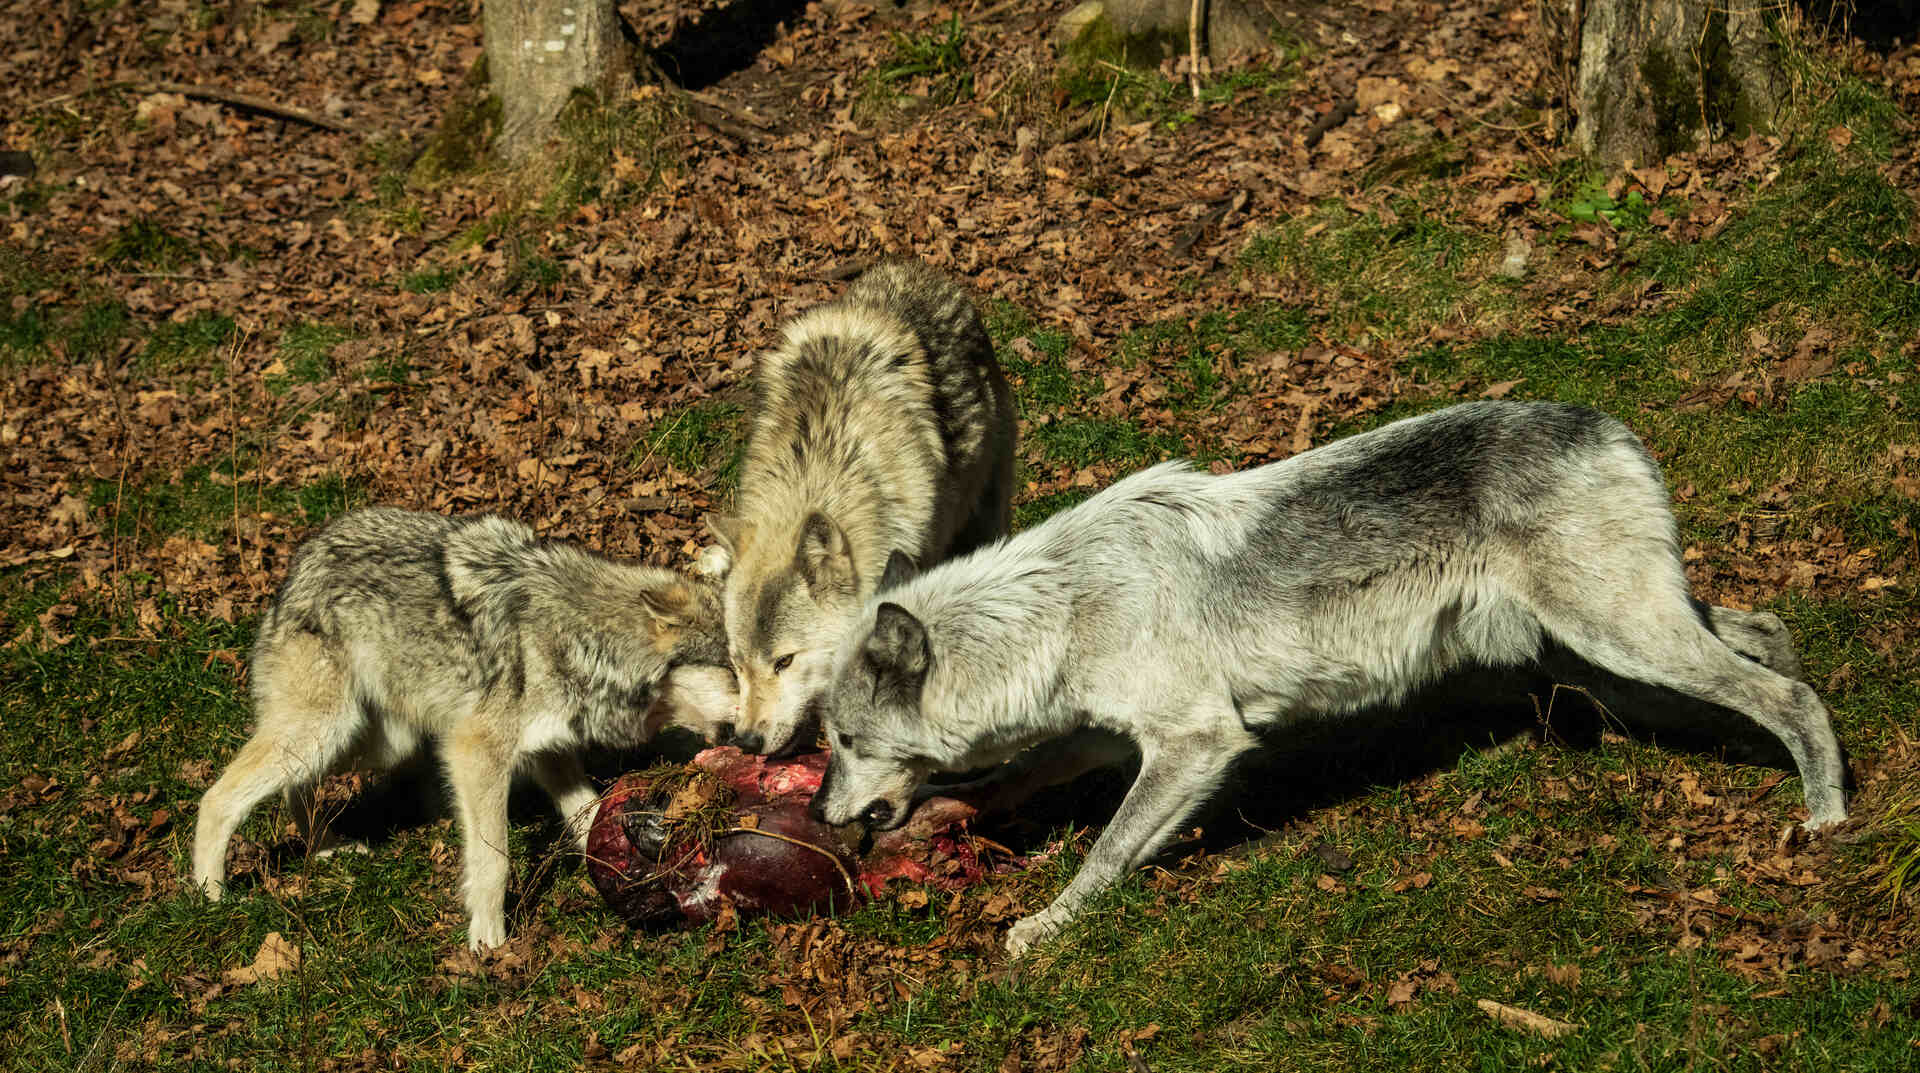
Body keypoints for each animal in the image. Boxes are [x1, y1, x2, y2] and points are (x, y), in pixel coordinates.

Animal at [191, 506, 737, 952]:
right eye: (739, 673)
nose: (759, 739)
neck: (583, 640)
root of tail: (298, 564)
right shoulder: (476, 751)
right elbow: (494, 860)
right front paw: (489, 940)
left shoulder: (547, 748)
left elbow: (589, 811)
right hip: (328, 731)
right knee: (217, 798)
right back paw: (209, 893)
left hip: (365, 742)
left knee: (293, 790)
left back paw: (325, 849)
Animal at [806, 403, 1843, 955]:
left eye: (844, 741)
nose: (816, 811)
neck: (1058, 608)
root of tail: (1612, 426)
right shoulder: (1109, 735)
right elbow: (1019, 775)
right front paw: (950, 814)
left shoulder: (1197, 741)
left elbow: (1105, 852)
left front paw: (1043, 928)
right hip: (1606, 647)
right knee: (1771, 632)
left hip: (1619, 638)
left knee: (1789, 693)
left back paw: (1825, 812)